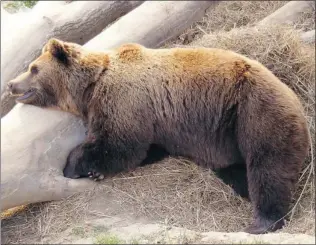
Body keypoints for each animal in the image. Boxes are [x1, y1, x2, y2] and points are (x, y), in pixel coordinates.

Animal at [6, 37, 308, 234]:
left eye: (33, 68)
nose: (11, 84)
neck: (90, 87)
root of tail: (294, 96)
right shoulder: (158, 124)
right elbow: (144, 149)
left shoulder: (124, 100)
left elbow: (120, 144)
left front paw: (76, 166)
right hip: (227, 136)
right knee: (236, 169)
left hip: (253, 110)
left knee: (268, 165)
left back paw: (262, 222)